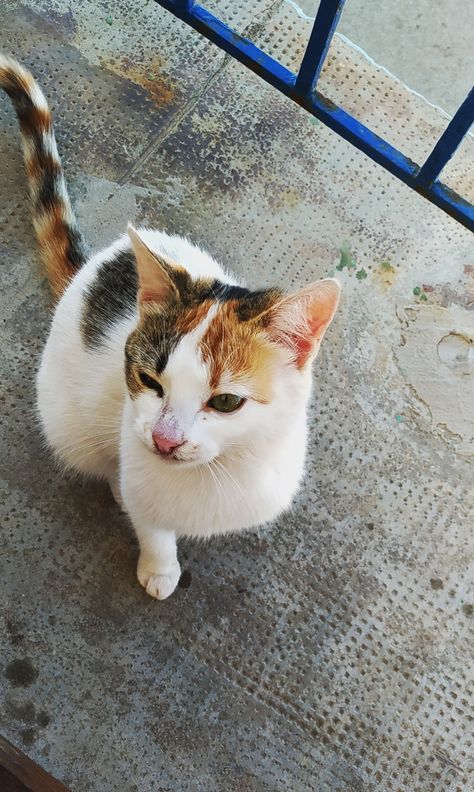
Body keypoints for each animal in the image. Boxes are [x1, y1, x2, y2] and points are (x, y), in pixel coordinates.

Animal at [0, 55, 340, 600]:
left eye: (227, 401)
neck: (216, 472)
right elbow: (151, 525)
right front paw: (159, 568)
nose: (163, 442)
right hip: (66, 420)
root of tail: (92, 265)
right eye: (149, 381)